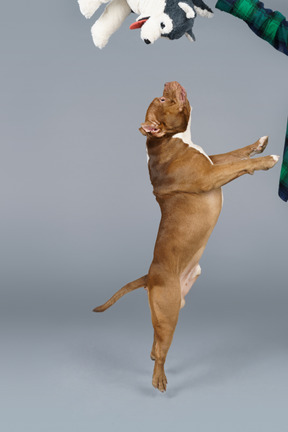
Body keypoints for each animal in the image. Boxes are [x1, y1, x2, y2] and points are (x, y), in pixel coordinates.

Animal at [94, 80, 280, 392]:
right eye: (163, 99)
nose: (168, 83)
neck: (167, 141)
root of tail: (149, 277)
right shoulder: (209, 176)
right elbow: (237, 165)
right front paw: (268, 160)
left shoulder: (212, 161)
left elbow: (236, 154)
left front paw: (259, 144)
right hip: (169, 313)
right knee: (161, 350)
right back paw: (159, 379)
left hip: (166, 312)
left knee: (156, 343)